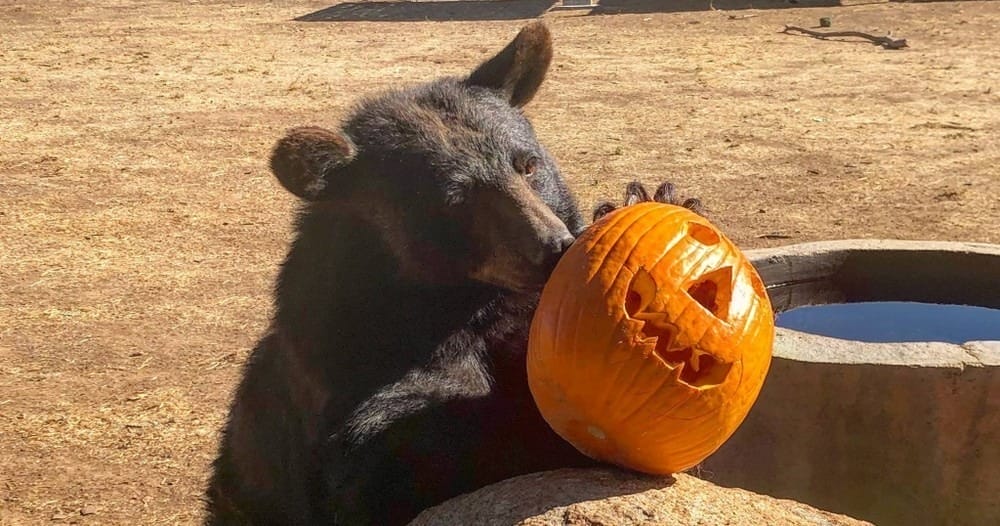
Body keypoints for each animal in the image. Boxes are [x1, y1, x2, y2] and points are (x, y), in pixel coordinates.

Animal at [206, 22, 700, 526]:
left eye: (528, 165)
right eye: (455, 200)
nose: (553, 248)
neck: (461, 298)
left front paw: (654, 198)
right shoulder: (351, 361)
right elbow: (390, 450)